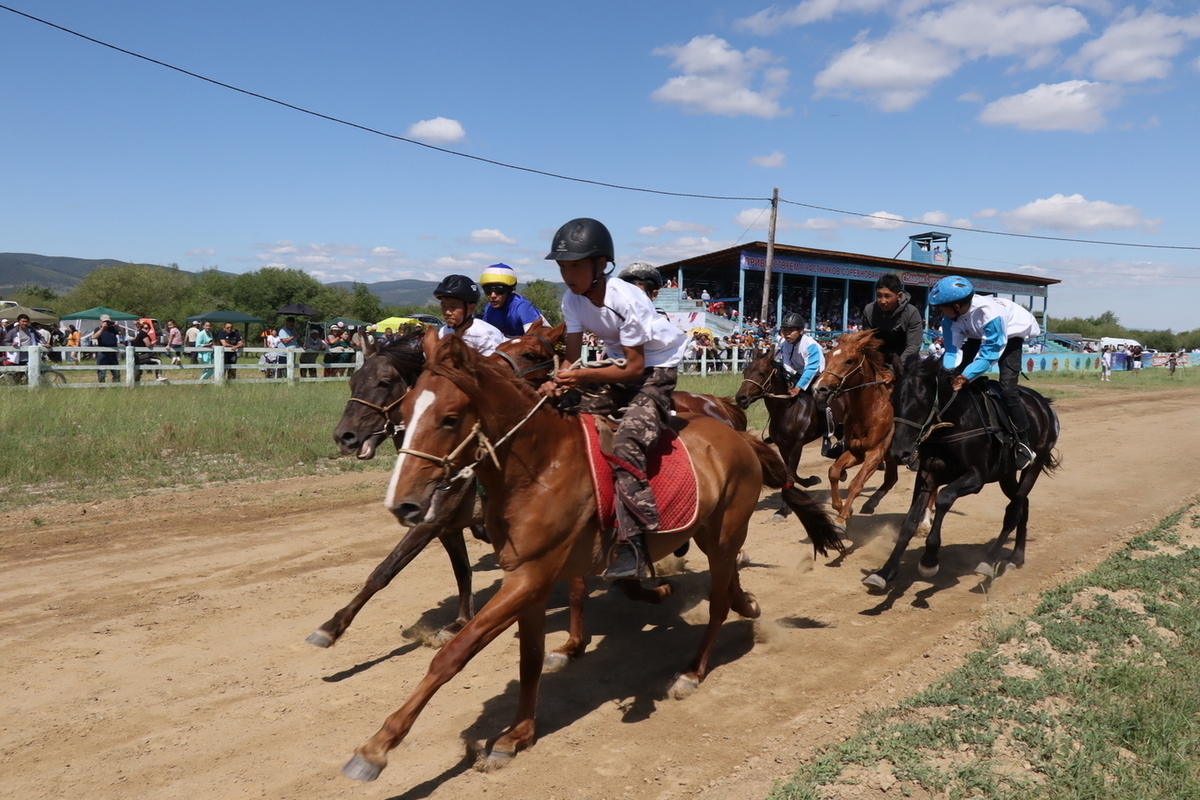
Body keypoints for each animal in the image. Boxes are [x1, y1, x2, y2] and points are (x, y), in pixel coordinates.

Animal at [340, 328, 844, 786]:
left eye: (448, 418)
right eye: (406, 410)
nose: (403, 502)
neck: (540, 469)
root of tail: (738, 435)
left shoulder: (529, 576)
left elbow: (453, 654)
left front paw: (376, 748)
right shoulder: (527, 578)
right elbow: (529, 656)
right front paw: (517, 734)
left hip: (722, 534)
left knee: (718, 601)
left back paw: (692, 671)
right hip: (712, 534)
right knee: (727, 585)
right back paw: (745, 604)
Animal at [806, 331, 902, 532]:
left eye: (849, 361)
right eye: (827, 357)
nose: (819, 389)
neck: (870, 411)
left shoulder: (875, 453)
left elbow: (857, 483)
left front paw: (841, 519)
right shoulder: (856, 452)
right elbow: (834, 471)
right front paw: (842, 508)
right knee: (891, 478)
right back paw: (870, 505)